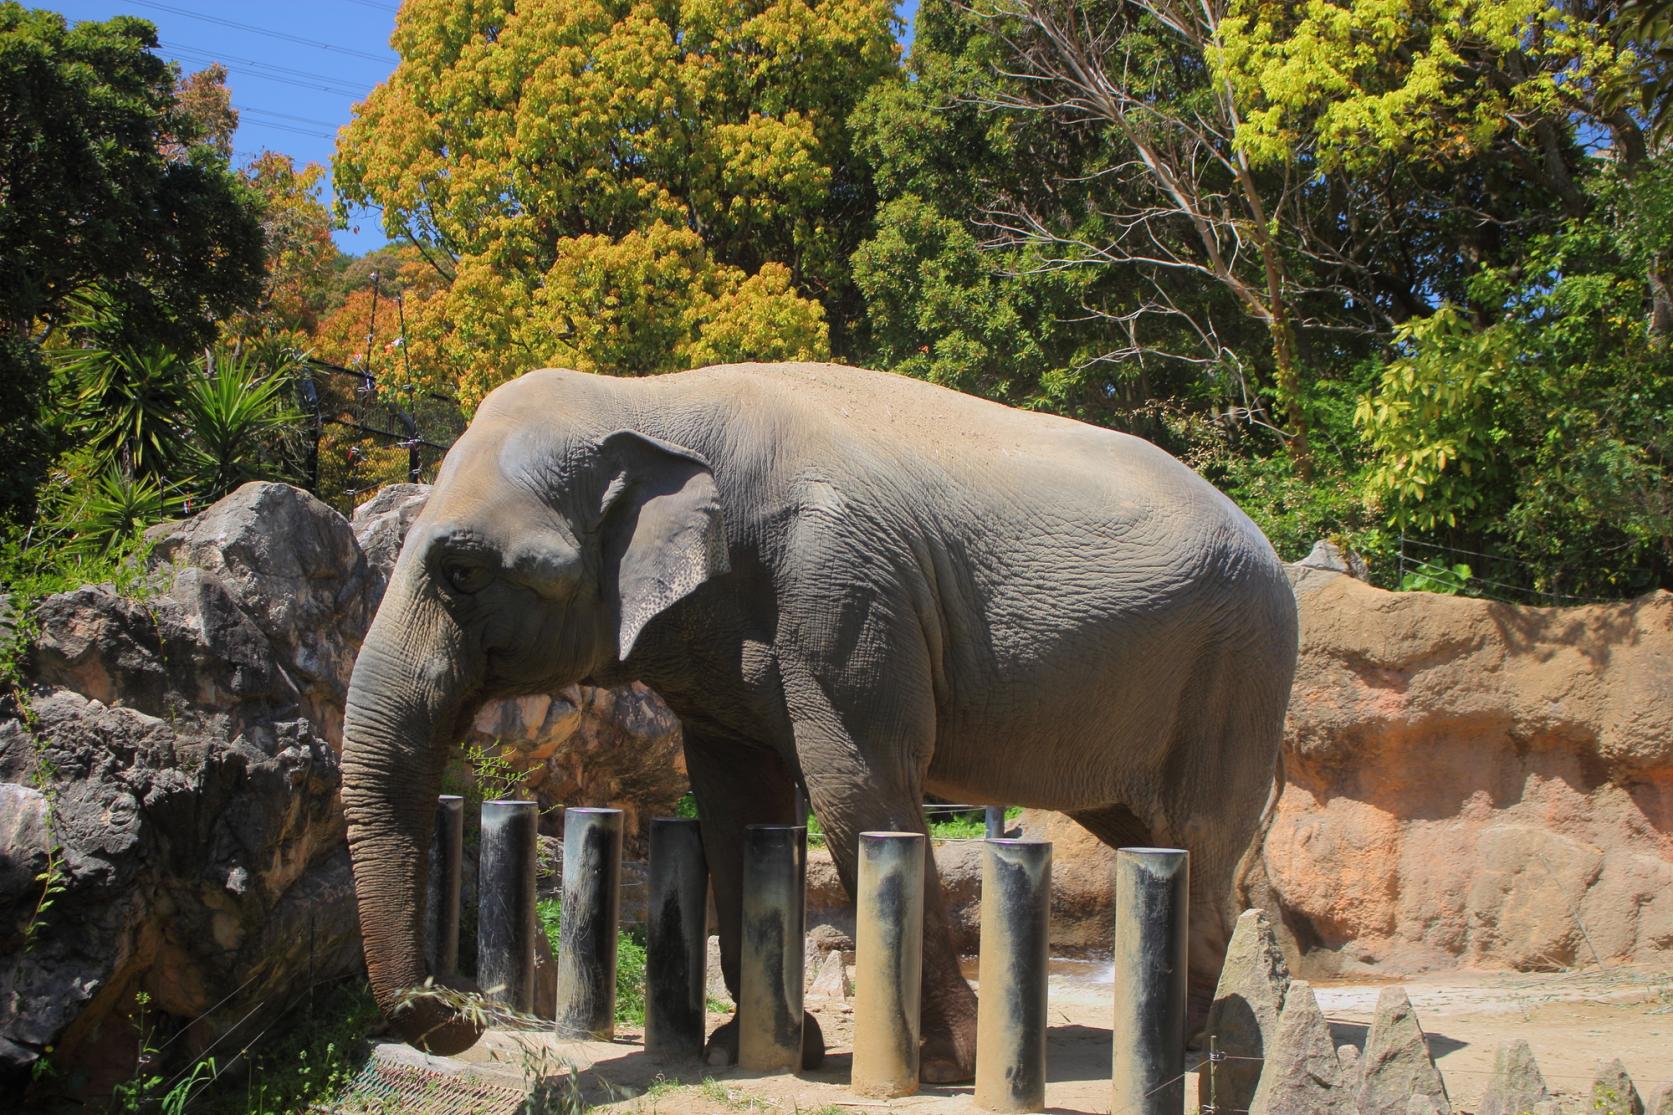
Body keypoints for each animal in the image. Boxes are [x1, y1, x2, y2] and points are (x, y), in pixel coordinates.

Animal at [339, 359, 1298, 1071]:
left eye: (462, 572)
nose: (459, 1012)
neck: (646, 396)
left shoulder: (842, 588)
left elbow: (855, 788)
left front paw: (944, 1064)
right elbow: (735, 802)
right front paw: (748, 1051)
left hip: (1238, 666)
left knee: (1197, 836)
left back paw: (1188, 1047)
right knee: (1152, 834)